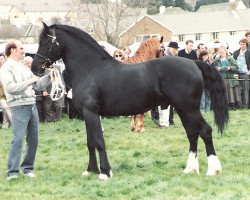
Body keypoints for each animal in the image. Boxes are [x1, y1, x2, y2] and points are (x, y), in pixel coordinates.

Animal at [32, 22, 229, 179]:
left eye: (47, 41)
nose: (35, 67)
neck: (90, 68)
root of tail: (194, 63)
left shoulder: (92, 113)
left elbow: (99, 142)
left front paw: (105, 172)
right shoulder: (88, 115)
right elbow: (90, 142)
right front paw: (91, 170)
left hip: (189, 108)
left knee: (205, 131)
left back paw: (213, 170)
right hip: (184, 109)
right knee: (192, 133)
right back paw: (190, 169)